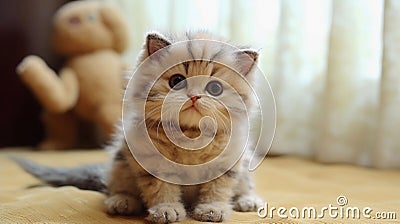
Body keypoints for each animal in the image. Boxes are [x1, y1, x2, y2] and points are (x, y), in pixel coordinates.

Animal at [16, 31, 266, 222]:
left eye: (215, 89)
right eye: (177, 81)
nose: (194, 97)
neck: (190, 135)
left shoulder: (228, 163)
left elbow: (218, 190)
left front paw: (212, 209)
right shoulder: (151, 161)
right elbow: (161, 189)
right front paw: (166, 210)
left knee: (245, 186)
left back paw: (249, 200)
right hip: (120, 165)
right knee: (116, 187)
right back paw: (122, 201)